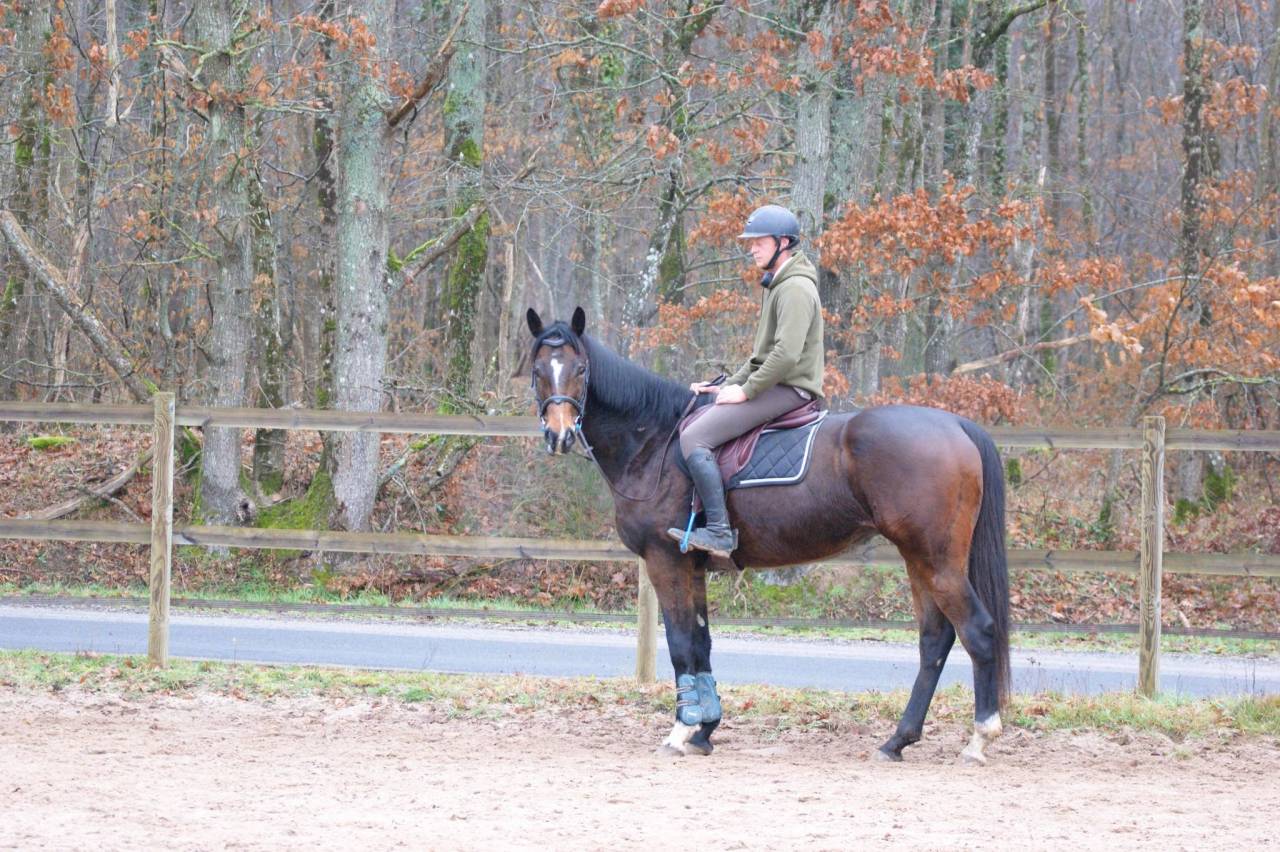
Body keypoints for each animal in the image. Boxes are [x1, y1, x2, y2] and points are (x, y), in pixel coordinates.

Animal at [527, 307, 1011, 765]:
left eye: (581, 368)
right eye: (537, 369)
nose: (559, 434)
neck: (655, 441)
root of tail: (956, 426)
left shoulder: (666, 560)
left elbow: (681, 644)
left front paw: (682, 730)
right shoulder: (693, 566)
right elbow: (701, 642)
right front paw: (705, 730)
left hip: (936, 561)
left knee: (977, 631)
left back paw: (979, 739)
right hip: (918, 560)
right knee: (934, 640)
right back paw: (898, 740)